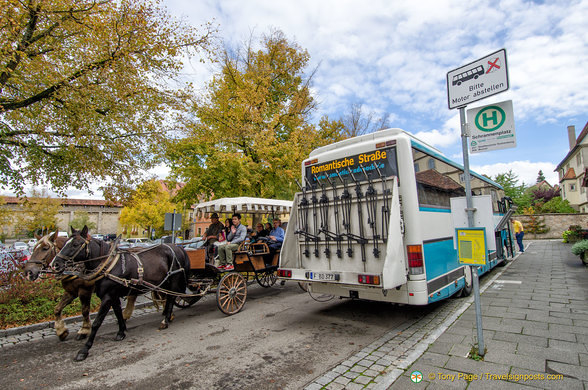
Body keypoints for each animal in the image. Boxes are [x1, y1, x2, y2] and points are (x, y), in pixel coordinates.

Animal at [51, 225, 188, 362]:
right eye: (66, 242)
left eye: (75, 244)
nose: (55, 264)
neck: (109, 264)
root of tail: (177, 247)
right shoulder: (113, 295)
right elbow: (117, 313)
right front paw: (121, 332)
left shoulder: (106, 296)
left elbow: (97, 322)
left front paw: (84, 350)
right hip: (163, 283)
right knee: (167, 298)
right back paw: (167, 316)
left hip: (173, 280)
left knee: (171, 298)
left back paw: (165, 321)